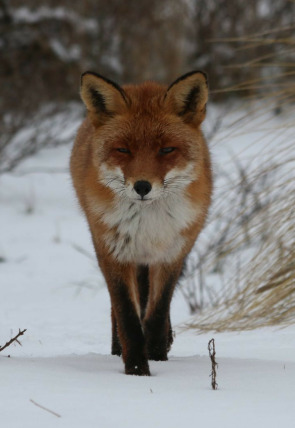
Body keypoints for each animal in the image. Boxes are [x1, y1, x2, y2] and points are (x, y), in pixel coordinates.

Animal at [70, 70, 213, 374]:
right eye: (123, 150)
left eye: (167, 149)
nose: (142, 186)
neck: (149, 225)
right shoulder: (113, 253)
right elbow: (126, 315)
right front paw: (136, 369)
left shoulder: (172, 254)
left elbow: (157, 312)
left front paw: (157, 356)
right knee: (118, 310)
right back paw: (116, 349)